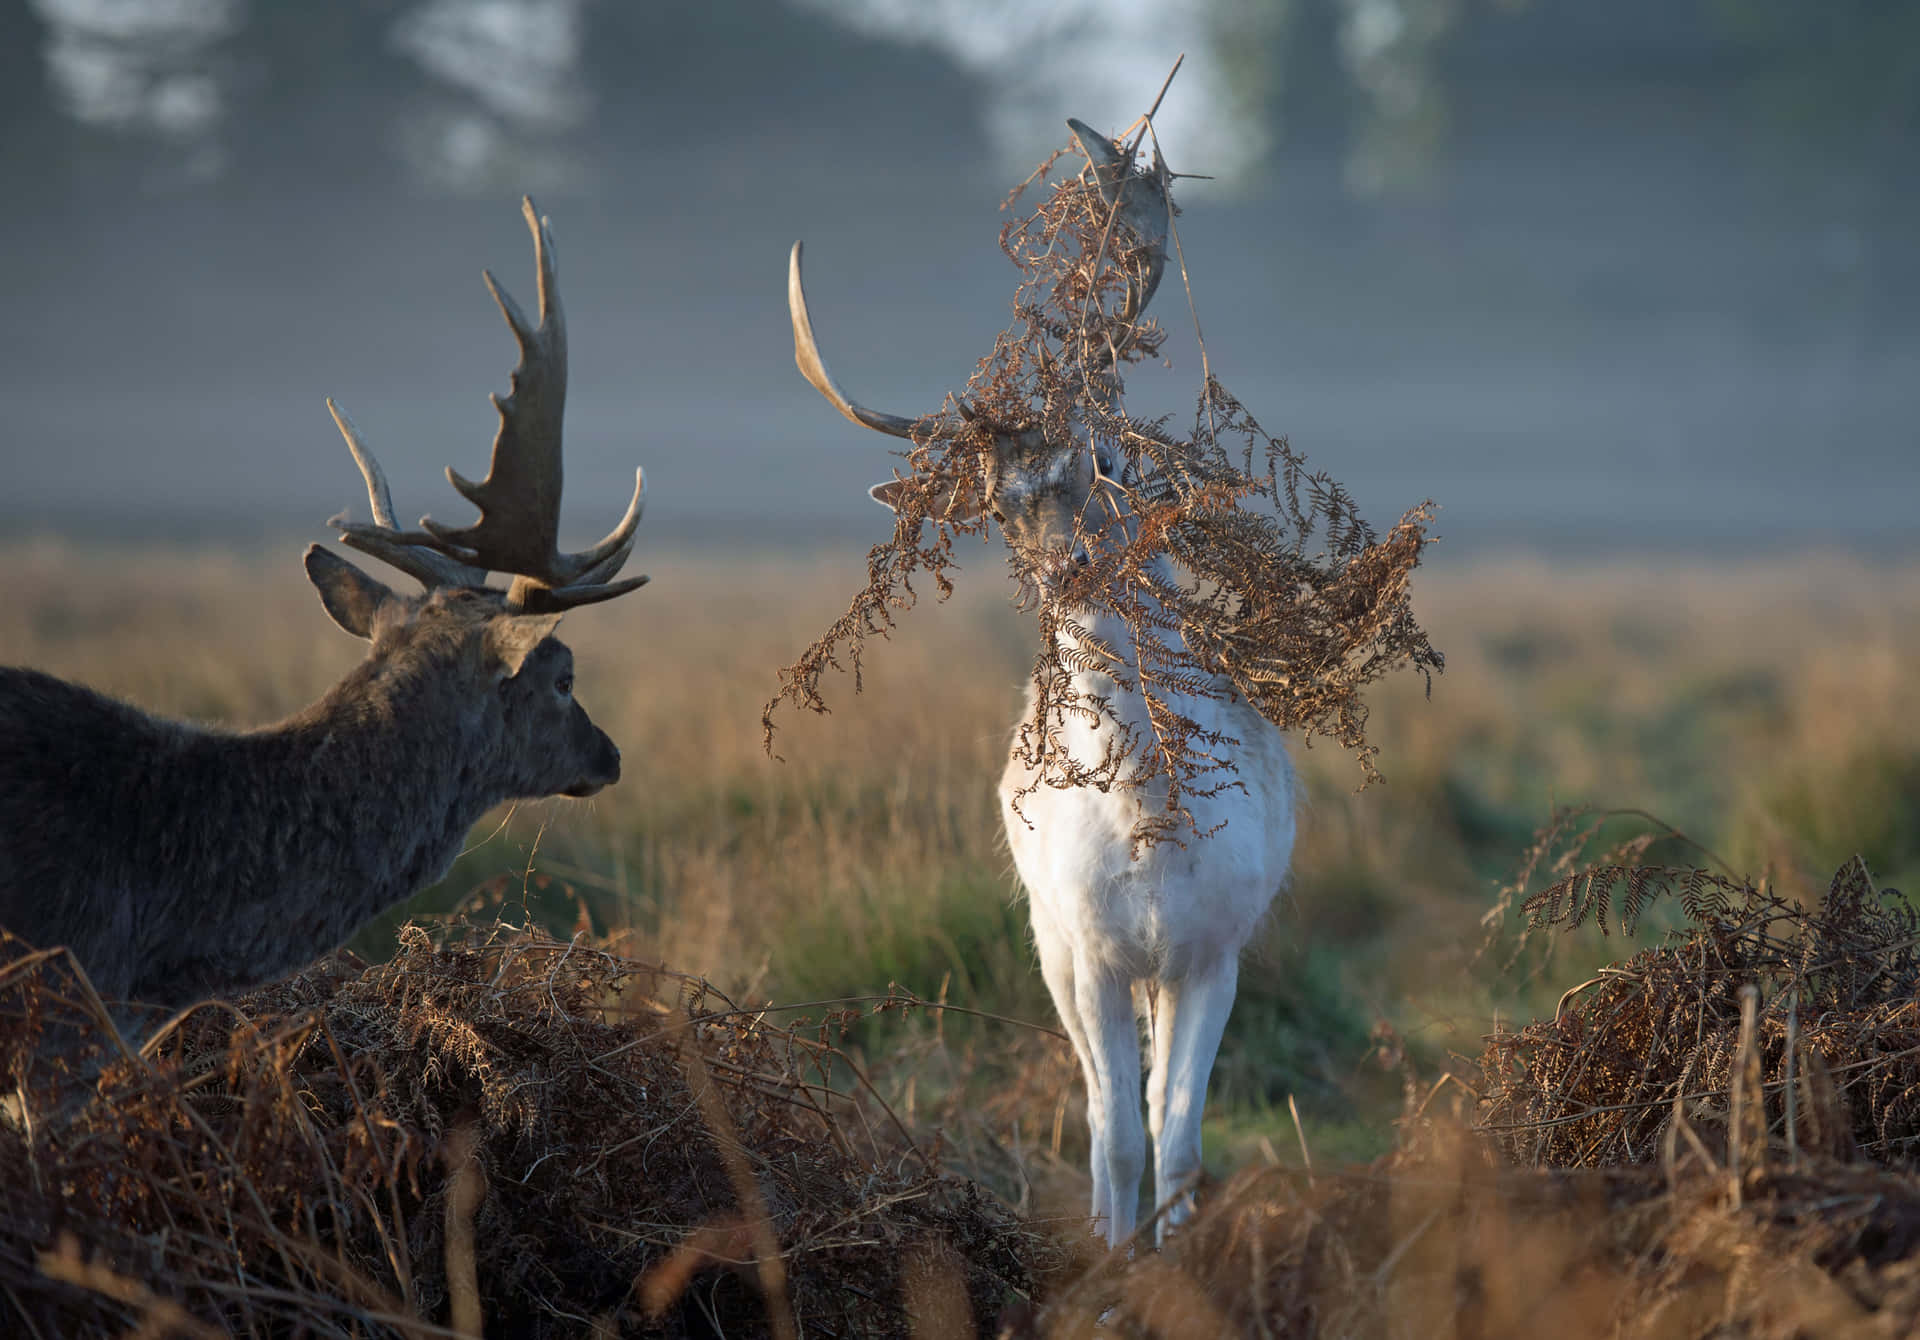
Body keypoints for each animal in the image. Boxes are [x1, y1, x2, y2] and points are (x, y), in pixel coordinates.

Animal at [785, 123, 1297, 1247]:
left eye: (1109, 457)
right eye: (1000, 503)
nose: (1071, 571)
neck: (1150, 820)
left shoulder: (1217, 947)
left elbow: (1180, 1137)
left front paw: (1177, 1257)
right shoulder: (1087, 946)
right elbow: (1117, 1135)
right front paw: (1113, 1262)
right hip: (1047, 941)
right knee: (1105, 1112)